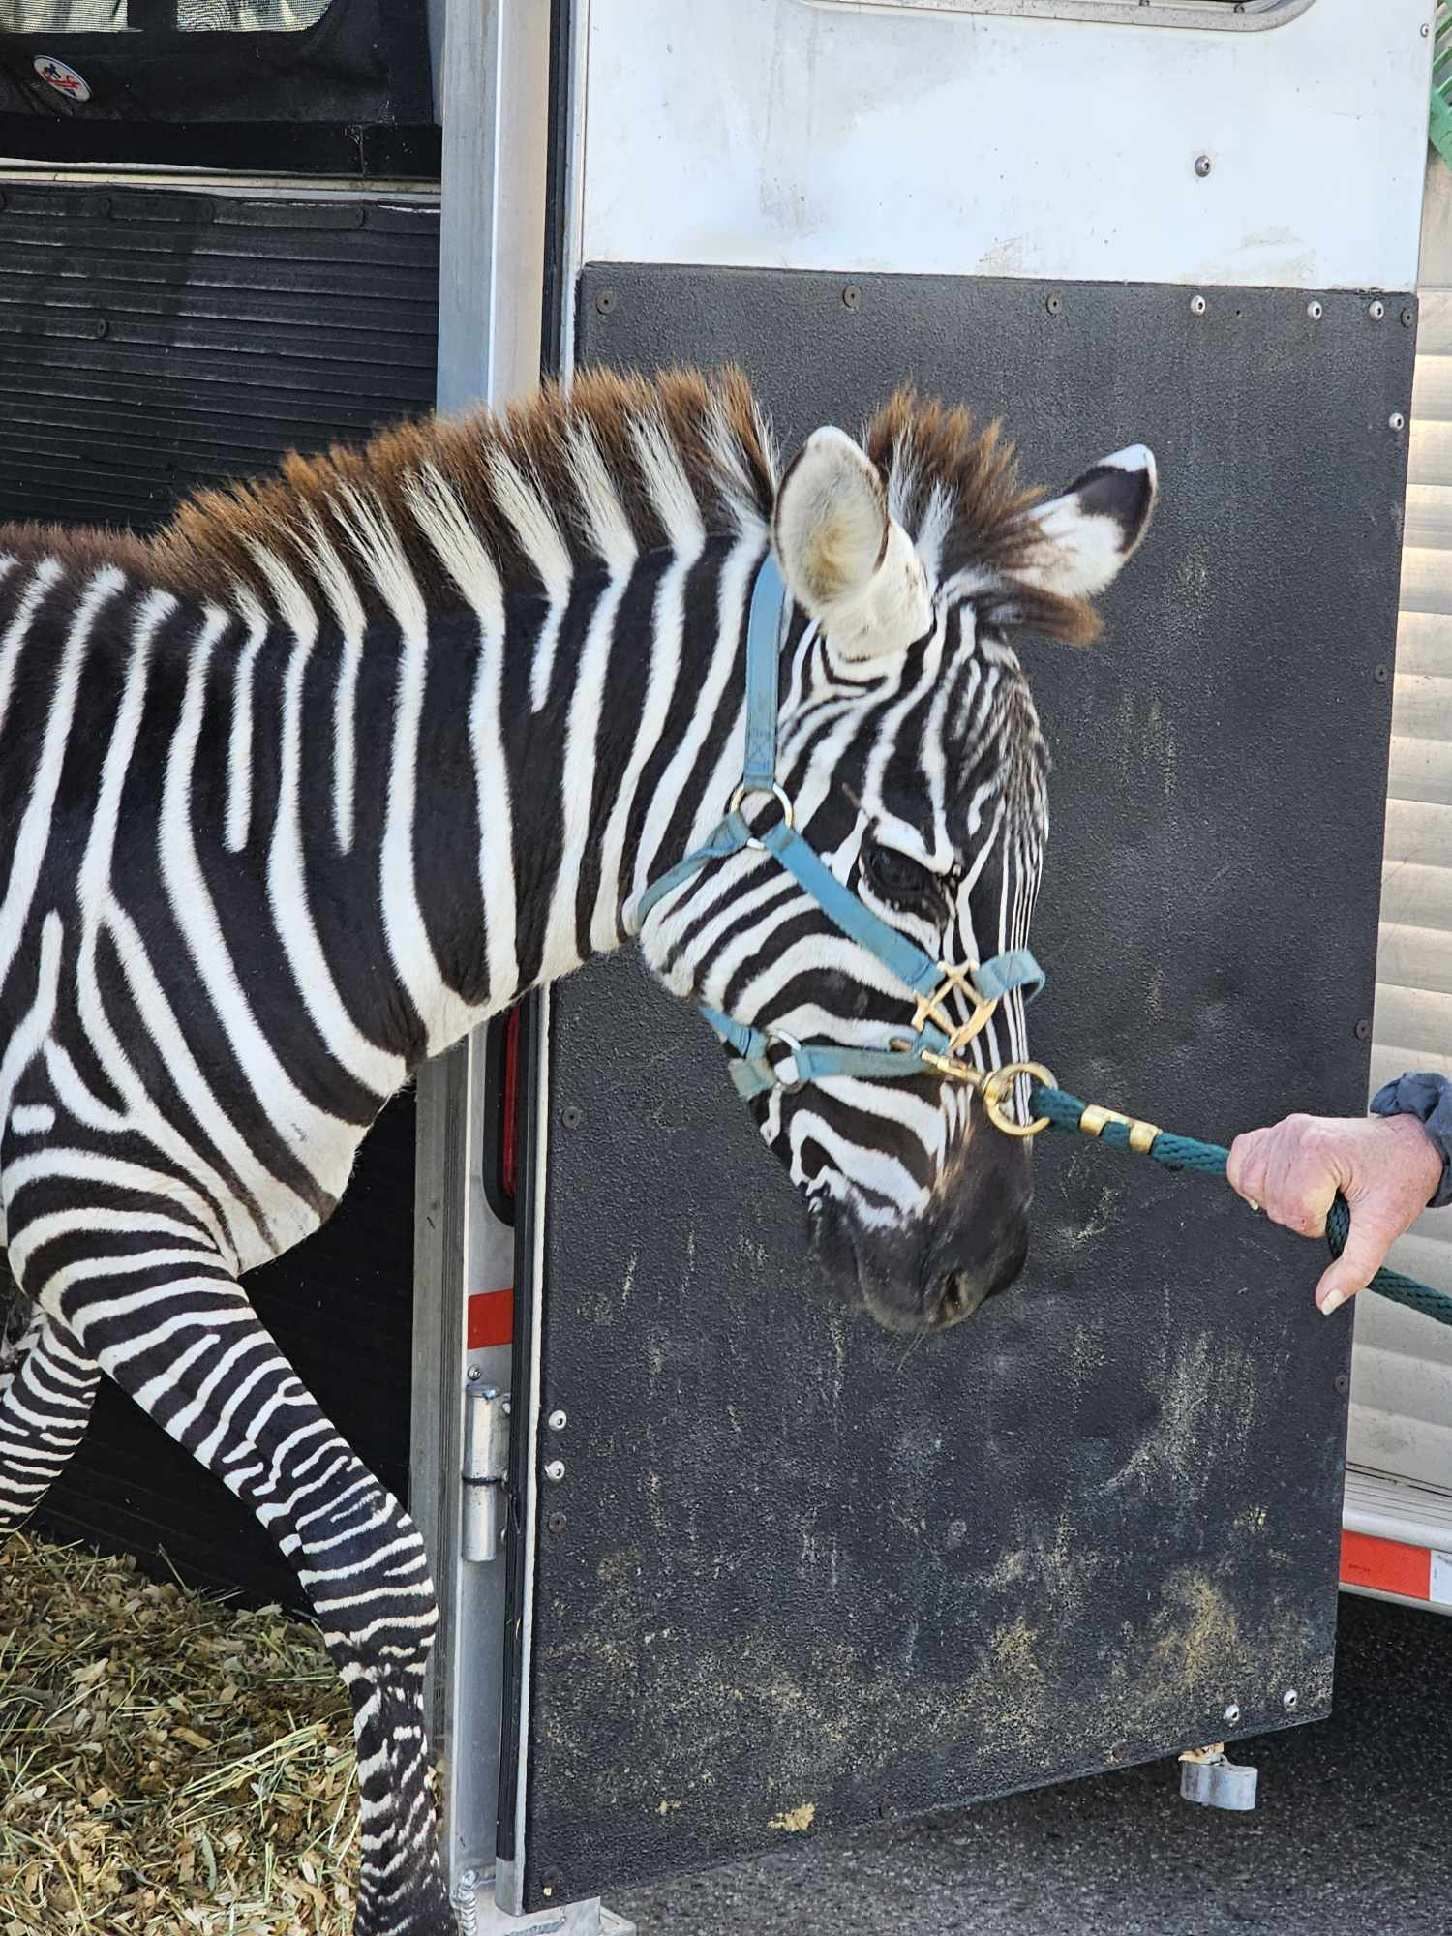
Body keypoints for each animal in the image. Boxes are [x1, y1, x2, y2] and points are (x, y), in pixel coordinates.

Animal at [0, 366, 1154, 1934]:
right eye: (903, 875)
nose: (986, 1262)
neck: (255, 866)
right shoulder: (99, 1215)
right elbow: (370, 1553)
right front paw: (406, 1905)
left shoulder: (110, 1238)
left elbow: (19, 1463)